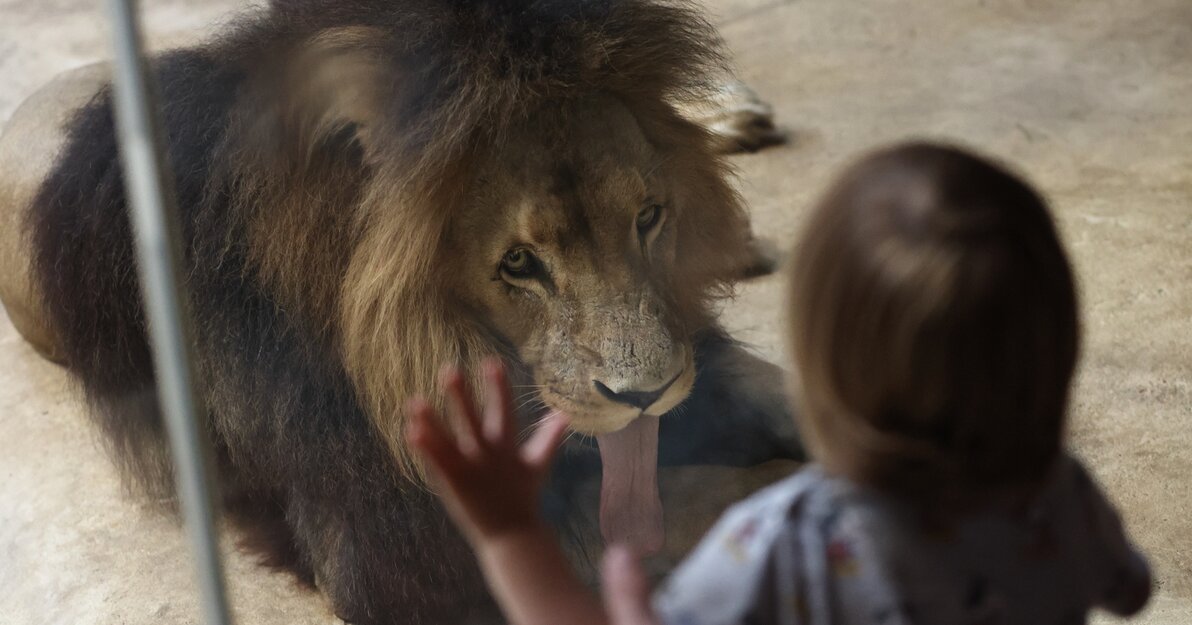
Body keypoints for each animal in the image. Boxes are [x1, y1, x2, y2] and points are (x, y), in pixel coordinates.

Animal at [2, 1, 801, 625]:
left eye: (648, 217)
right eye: (519, 263)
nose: (646, 395)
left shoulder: (686, 342)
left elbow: (761, 388)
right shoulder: (389, 550)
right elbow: (707, 503)